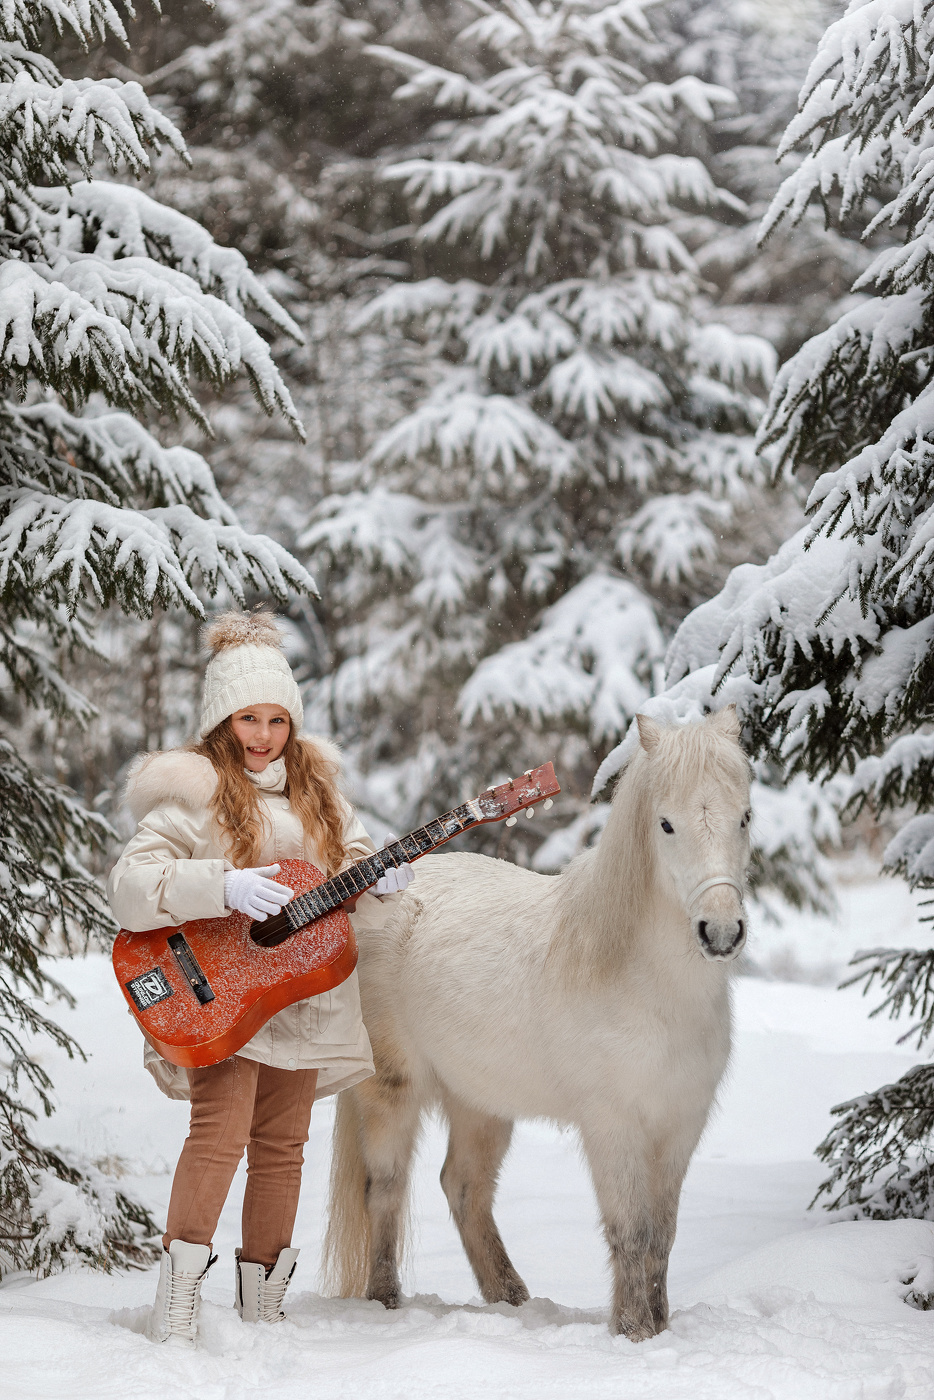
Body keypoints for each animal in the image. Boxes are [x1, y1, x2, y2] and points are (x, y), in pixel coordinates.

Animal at [323, 705, 750, 1338]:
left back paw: (511, 1299)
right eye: (667, 825)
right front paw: (633, 1332)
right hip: (391, 1089)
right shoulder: (613, 1127)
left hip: (480, 1102)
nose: (720, 932)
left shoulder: (679, 1127)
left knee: (464, 1188)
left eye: (744, 817)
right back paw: (387, 1301)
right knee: (386, 1188)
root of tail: (360, 900)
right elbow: (631, 1234)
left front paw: (659, 1326)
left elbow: (662, 1239)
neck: (647, 984)